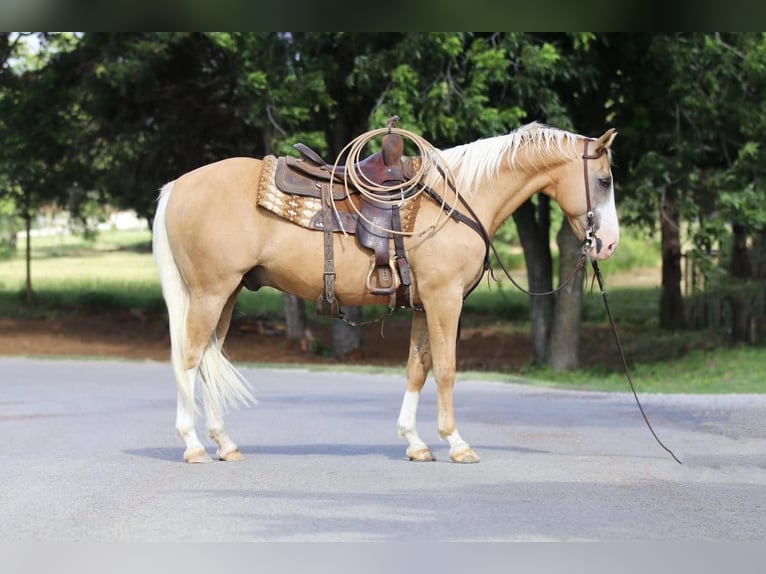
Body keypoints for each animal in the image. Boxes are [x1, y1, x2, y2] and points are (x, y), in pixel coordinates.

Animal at [153, 121, 620, 464]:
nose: (608, 244)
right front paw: (457, 443)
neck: (457, 199)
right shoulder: (445, 301)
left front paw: (416, 442)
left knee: (208, 359)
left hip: (227, 294)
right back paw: (192, 445)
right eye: (603, 180)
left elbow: (417, 368)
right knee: (190, 358)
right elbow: (446, 368)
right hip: (211, 293)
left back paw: (225, 444)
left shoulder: (423, 306)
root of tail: (177, 185)